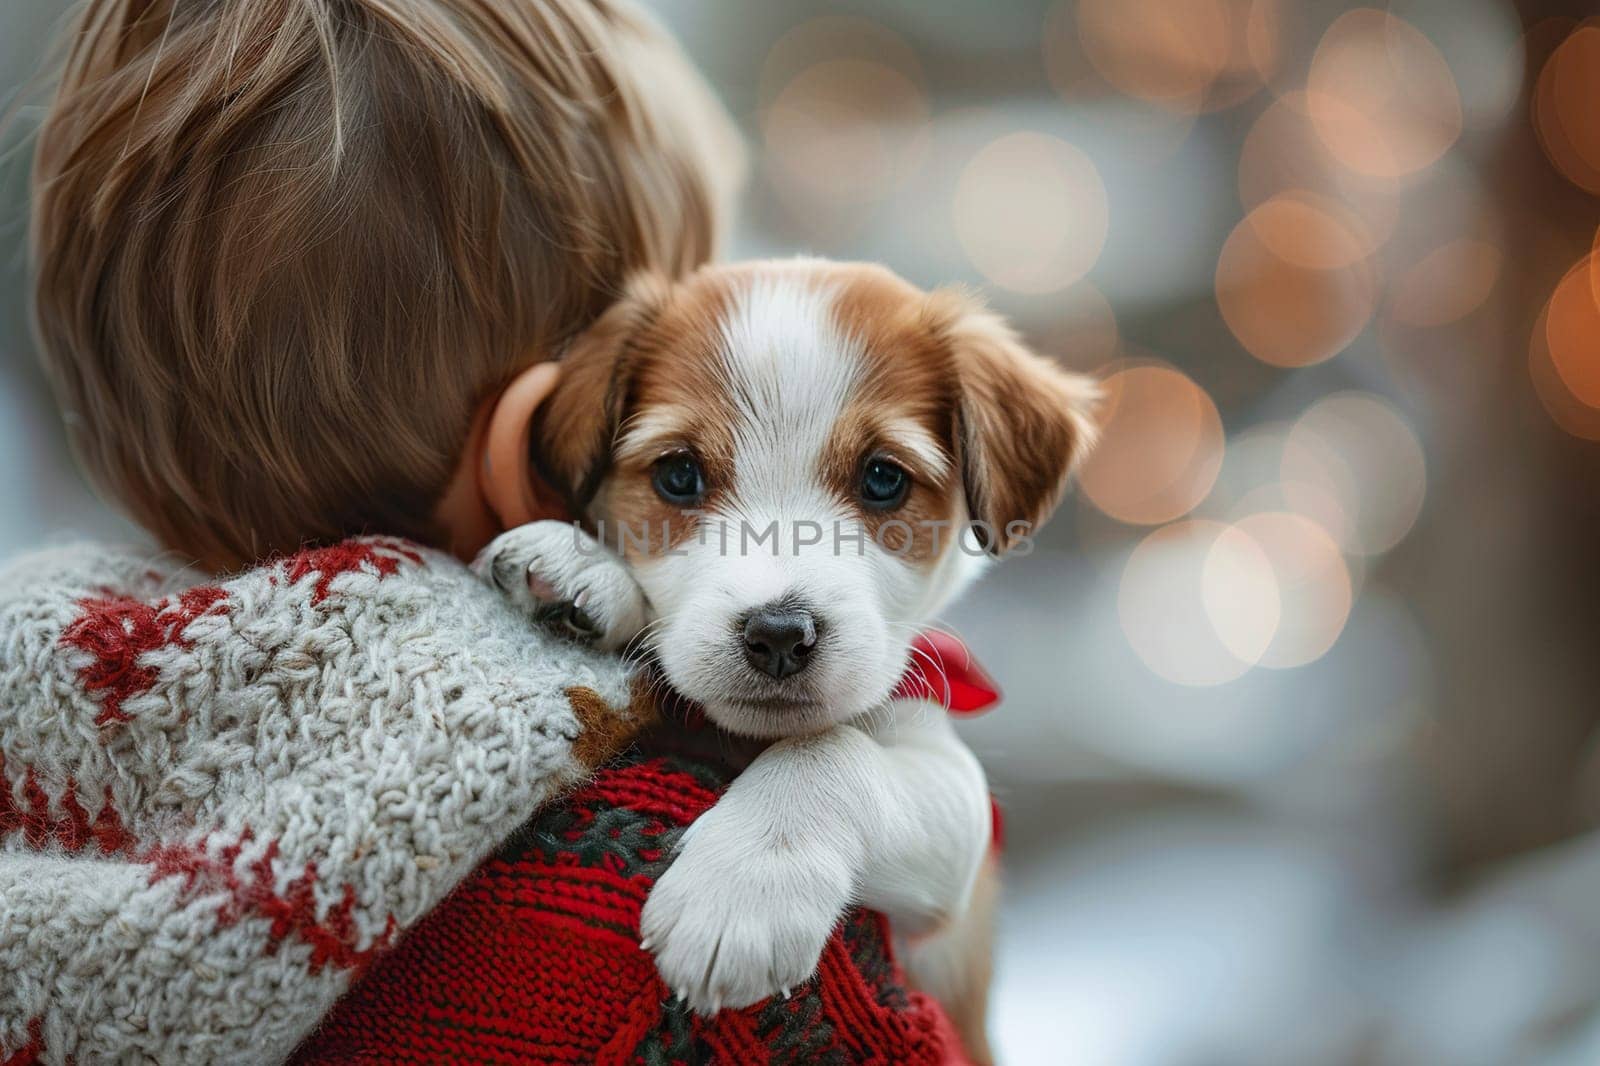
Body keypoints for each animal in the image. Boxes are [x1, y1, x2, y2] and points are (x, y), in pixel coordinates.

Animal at [476, 257, 1100, 1056]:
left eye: (883, 478)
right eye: (678, 475)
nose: (778, 634)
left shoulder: (958, 826)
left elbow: (831, 752)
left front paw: (744, 886)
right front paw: (586, 566)